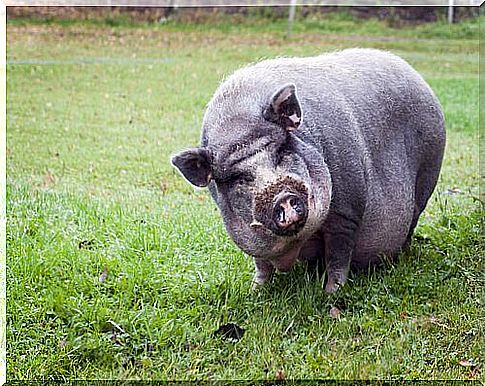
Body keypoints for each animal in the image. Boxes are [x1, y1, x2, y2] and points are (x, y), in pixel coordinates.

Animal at [172, 49, 444, 294]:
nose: (282, 195)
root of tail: (414, 74)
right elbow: (261, 264)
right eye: (238, 178)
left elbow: (338, 255)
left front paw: (331, 293)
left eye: (282, 150)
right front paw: (255, 291)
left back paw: (401, 257)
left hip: (428, 175)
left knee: (412, 221)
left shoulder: (346, 211)